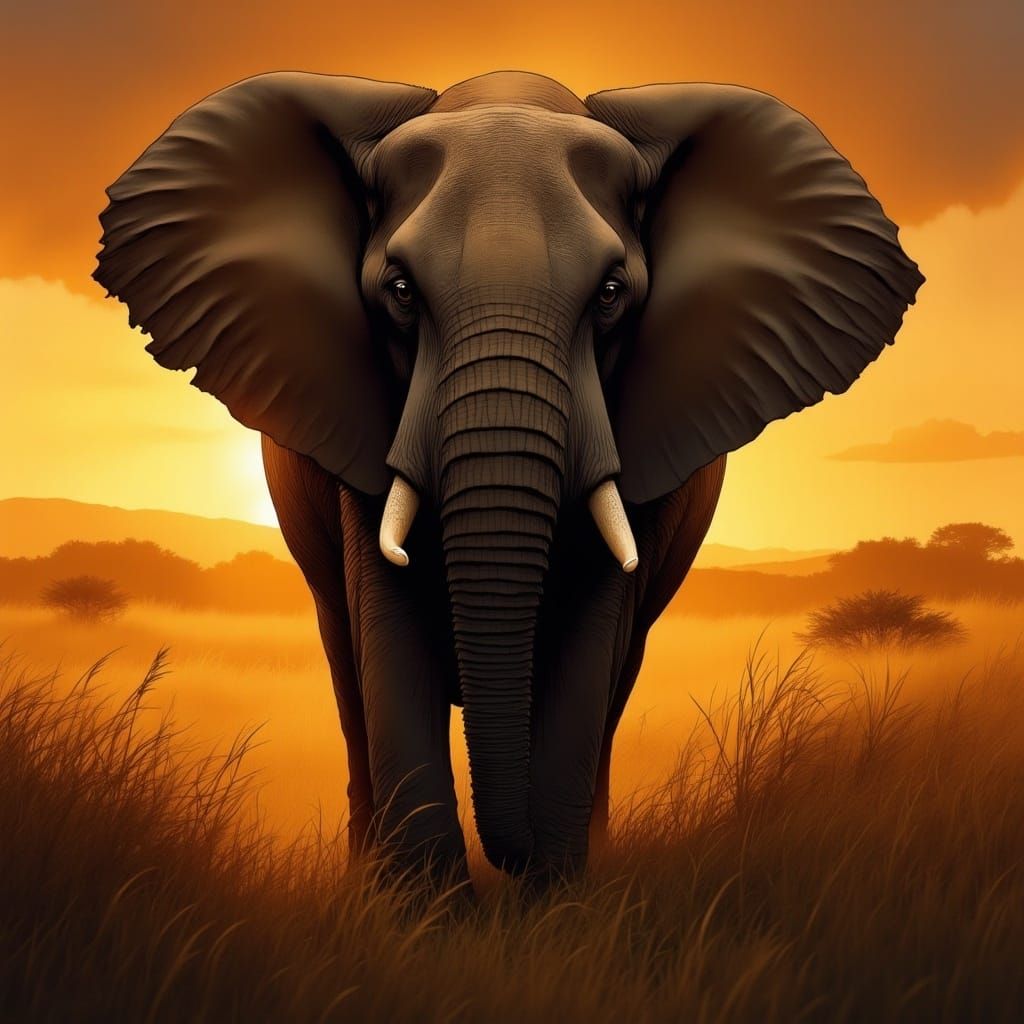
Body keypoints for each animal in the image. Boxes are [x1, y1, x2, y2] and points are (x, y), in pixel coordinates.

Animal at [94, 70, 922, 882]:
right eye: (400, 291)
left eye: (612, 294)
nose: (510, 860)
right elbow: (388, 631)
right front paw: (426, 912)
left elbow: (590, 641)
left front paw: (550, 901)